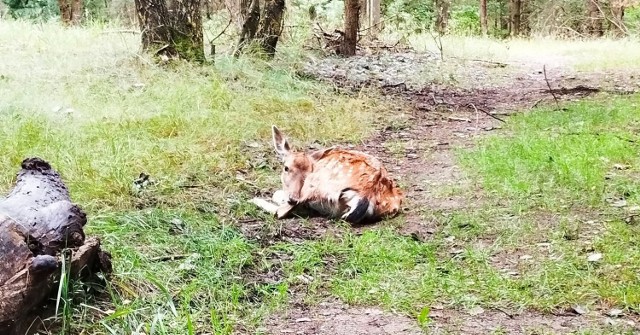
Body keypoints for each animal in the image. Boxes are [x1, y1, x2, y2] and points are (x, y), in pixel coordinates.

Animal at [250, 125, 404, 223]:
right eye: (286, 168)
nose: (293, 198)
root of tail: (366, 194)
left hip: (317, 184)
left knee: (281, 212)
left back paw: (254, 200)